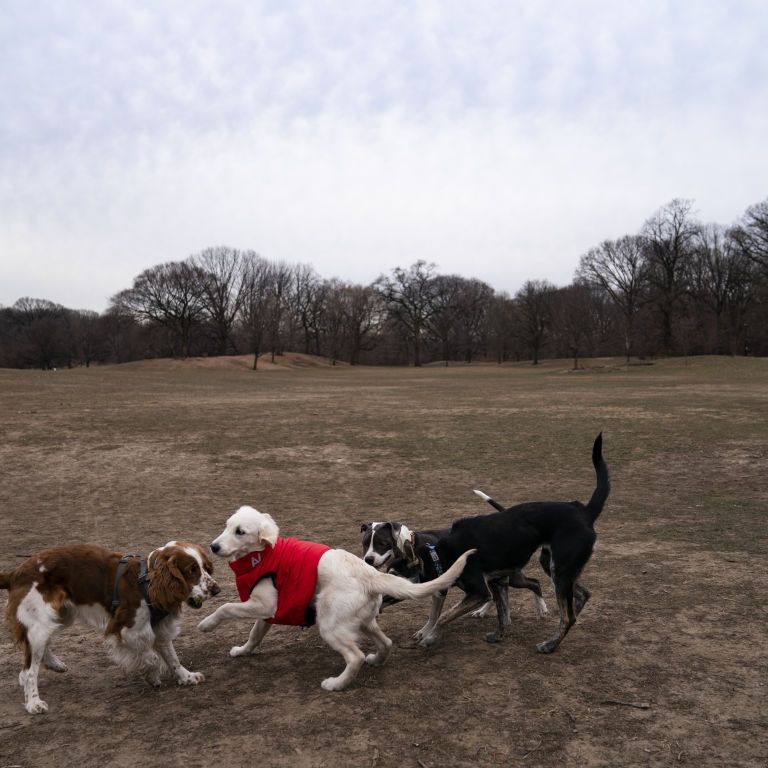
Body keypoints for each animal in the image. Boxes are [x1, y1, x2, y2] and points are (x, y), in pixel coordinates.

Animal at [404, 436, 608, 652]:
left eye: (395, 571)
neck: (442, 554)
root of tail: (584, 512)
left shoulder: (480, 592)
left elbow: (444, 615)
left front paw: (429, 638)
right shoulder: (497, 581)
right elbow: (502, 613)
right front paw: (498, 635)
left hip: (559, 572)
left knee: (568, 616)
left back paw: (550, 644)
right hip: (553, 567)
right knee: (580, 596)